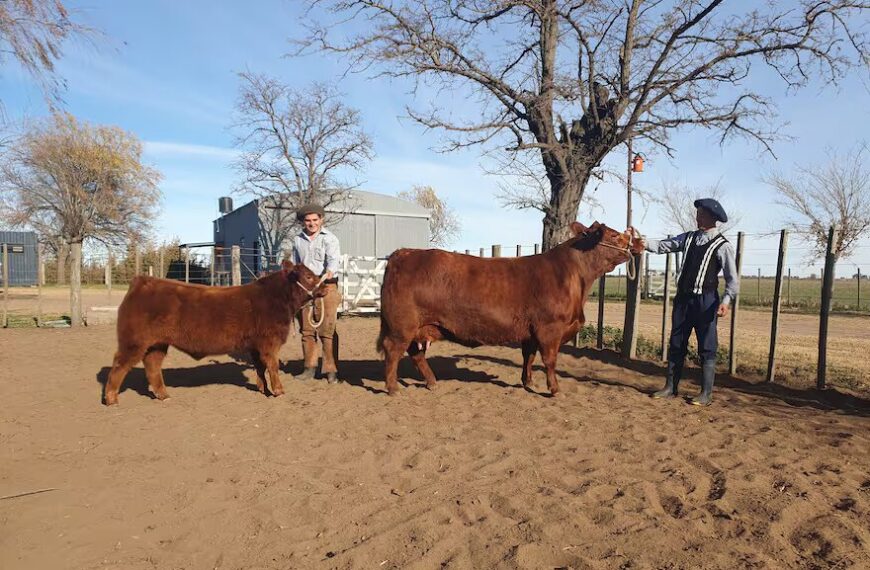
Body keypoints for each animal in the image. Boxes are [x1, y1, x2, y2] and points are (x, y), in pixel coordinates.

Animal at [105, 262, 324, 404]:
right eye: (308, 277)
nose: (327, 286)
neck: (275, 298)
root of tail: (142, 281)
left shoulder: (255, 345)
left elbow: (260, 367)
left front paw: (263, 389)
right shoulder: (270, 342)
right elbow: (272, 366)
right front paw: (278, 391)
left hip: (157, 343)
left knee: (152, 366)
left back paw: (163, 395)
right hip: (134, 341)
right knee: (119, 365)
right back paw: (111, 398)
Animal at [376, 222, 648, 394]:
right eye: (614, 235)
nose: (639, 241)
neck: (574, 277)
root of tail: (403, 253)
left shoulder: (531, 332)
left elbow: (529, 357)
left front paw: (528, 383)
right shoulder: (550, 329)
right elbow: (550, 360)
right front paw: (554, 389)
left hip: (415, 326)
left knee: (415, 353)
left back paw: (431, 383)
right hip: (402, 325)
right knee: (393, 350)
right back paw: (393, 388)